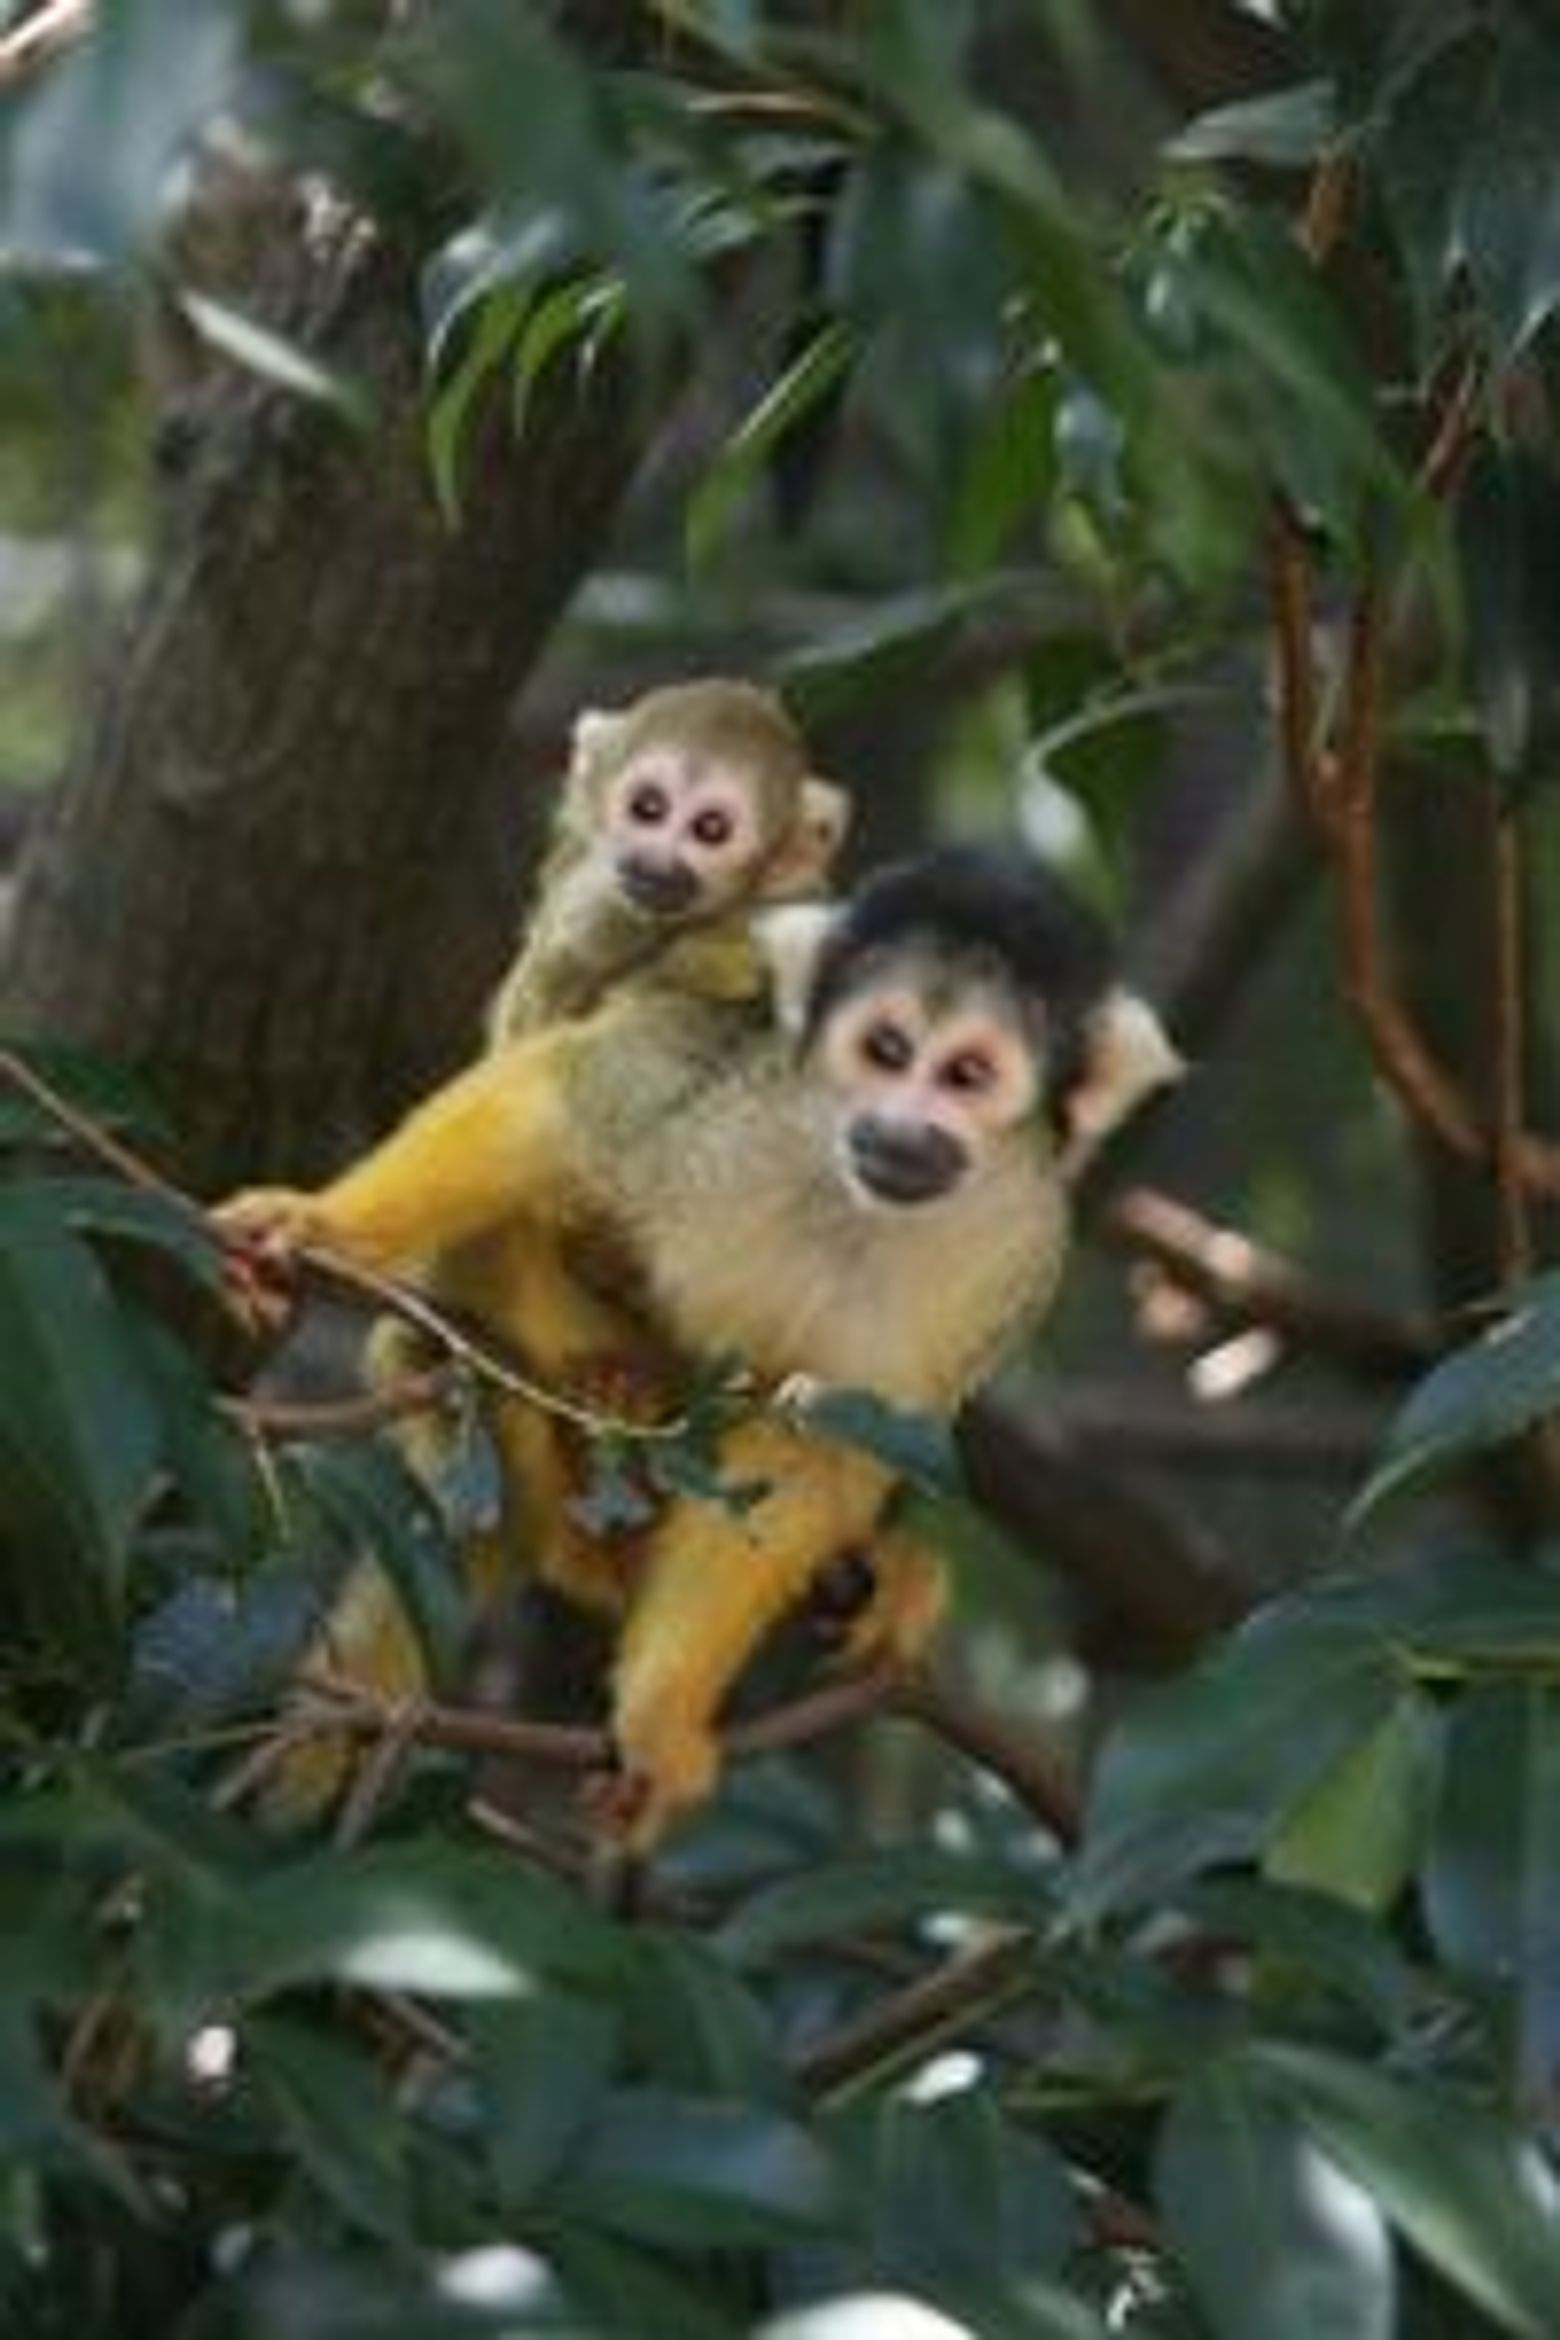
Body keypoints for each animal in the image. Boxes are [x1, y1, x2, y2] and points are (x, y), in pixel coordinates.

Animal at [221, 845, 1180, 1846]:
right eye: (885, 1050)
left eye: (966, 1074)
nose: (896, 1128)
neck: (855, 1202)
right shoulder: (740, 1091)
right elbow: (562, 1098)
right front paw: (317, 1224)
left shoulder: (1015, 1252)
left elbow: (821, 1447)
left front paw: (659, 1714)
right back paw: (584, 1403)